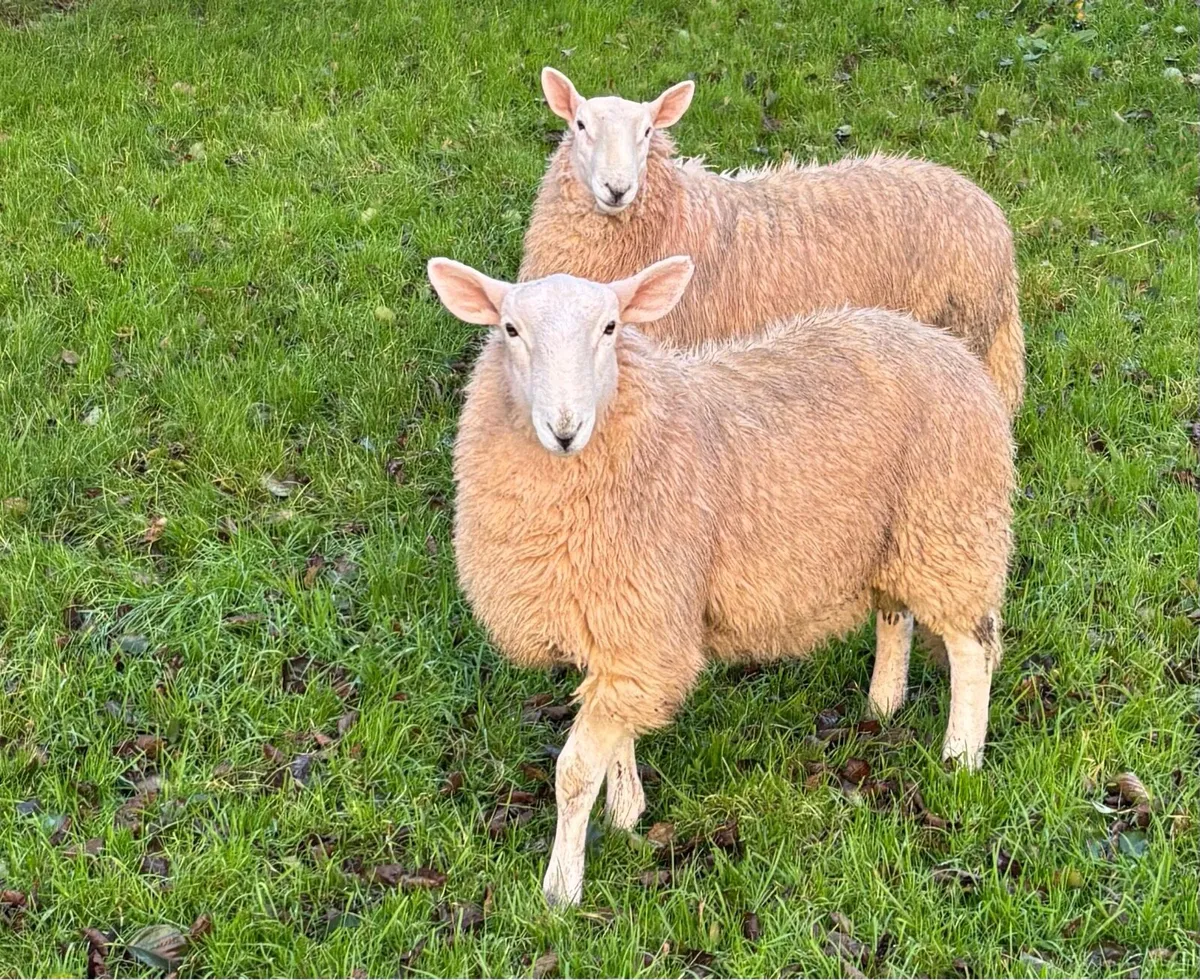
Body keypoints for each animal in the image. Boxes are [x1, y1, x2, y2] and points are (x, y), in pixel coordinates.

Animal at [427, 255, 1013, 907]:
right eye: (510, 330)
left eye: (610, 328)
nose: (564, 428)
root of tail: (942, 344)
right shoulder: (624, 624)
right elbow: (617, 737)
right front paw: (627, 813)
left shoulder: (641, 624)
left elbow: (575, 772)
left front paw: (560, 891)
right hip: (889, 536)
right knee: (896, 613)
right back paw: (883, 705)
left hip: (949, 523)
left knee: (972, 648)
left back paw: (960, 758)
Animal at [520, 67, 1025, 416]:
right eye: (580, 125)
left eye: (647, 132)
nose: (617, 188)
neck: (671, 212)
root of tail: (988, 209)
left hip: (964, 328)